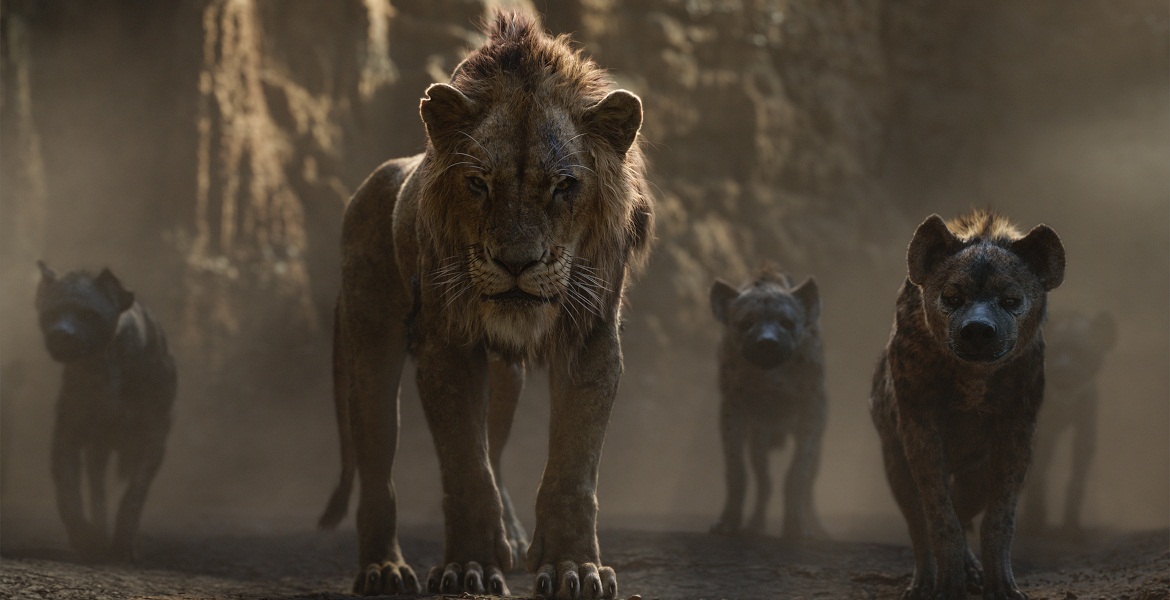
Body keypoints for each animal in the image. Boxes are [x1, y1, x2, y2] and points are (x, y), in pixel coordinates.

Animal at [317, 12, 653, 599]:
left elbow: (571, 469)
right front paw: (468, 567)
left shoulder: (590, 339)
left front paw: (572, 568)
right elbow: (465, 469)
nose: (517, 262)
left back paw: (513, 537)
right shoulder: (447, 346)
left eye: (564, 186)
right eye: (478, 183)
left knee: (494, 448)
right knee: (379, 467)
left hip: (504, 378)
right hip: (369, 349)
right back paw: (383, 569)